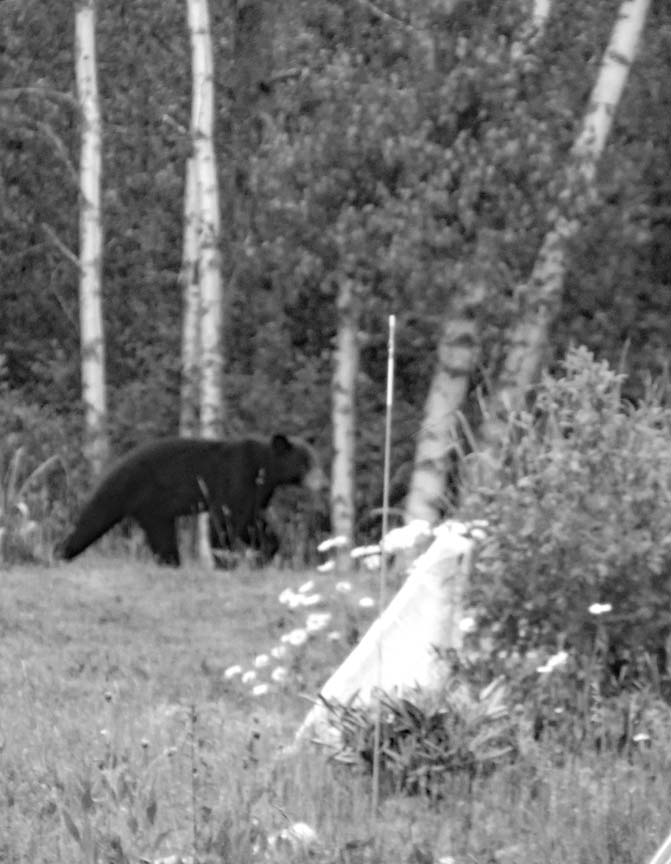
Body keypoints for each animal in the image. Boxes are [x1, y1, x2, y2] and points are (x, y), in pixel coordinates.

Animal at [59, 432, 326, 568]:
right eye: (305, 463)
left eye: (316, 460)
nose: (323, 484)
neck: (264, 468)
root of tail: (115, 465)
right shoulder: (237, 476)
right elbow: (227, 518)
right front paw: (224, 560)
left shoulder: (259, 492)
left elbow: (253, 521)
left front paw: (265, 551)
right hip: (129, 492)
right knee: (94, 519)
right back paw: (62, 552)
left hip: (154, 509)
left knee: (162, 536)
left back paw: (171, 563)